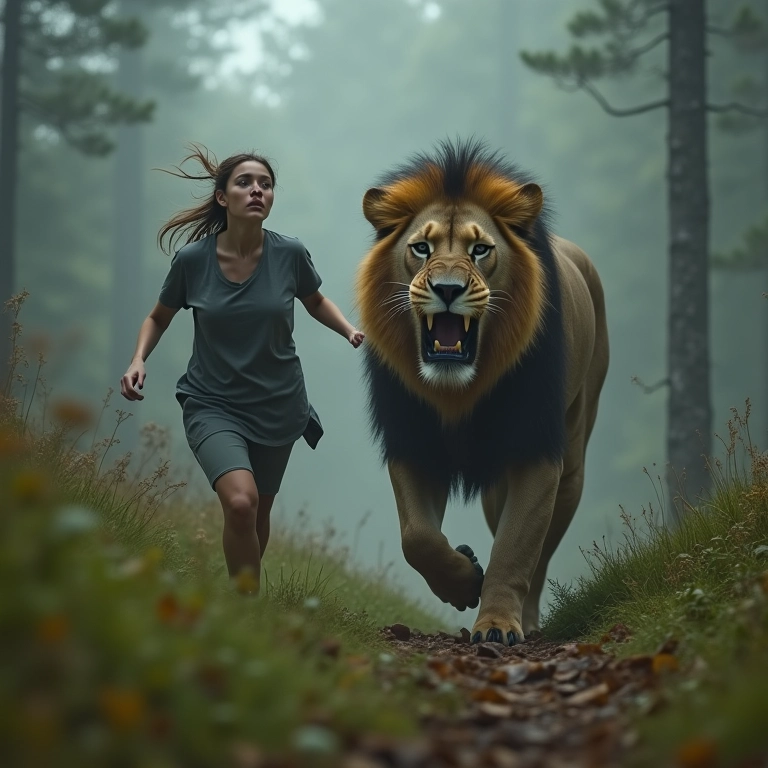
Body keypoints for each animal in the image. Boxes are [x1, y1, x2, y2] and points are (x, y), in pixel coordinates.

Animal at [355, 139, 609, 645]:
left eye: (480, 250)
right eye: (421, 247)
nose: (448, 289)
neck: (456, 390)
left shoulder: (534, 448)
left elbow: (516, 549)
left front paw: (495, 625)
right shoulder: (411, 438)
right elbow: (418, 538)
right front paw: (464, 577)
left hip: (571, 457)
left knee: (541, 553)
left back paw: (525, 621)